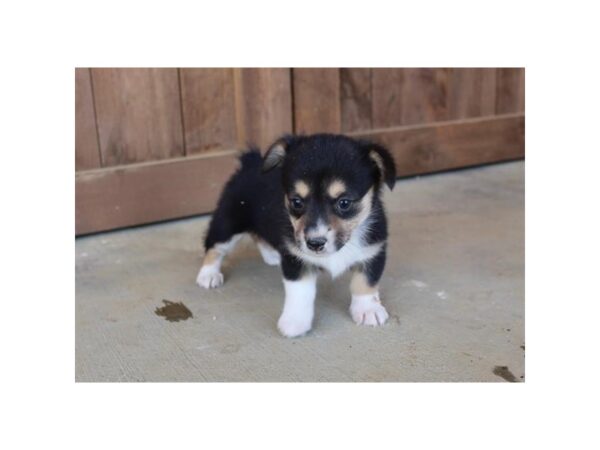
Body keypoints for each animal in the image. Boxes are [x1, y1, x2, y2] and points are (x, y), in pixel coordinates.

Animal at [196, 134, 398, 338]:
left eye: (344, 202)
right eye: (296, 202)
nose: (315, 244)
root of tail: (250, 163)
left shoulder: (373, 252)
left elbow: (365, 283)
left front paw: (368, 310)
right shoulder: (296, 260)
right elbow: (300, 292)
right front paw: (295, 322)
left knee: (258, 235)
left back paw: (272, 255)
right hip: (228, 222)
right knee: (214, 246)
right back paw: (208, 275)